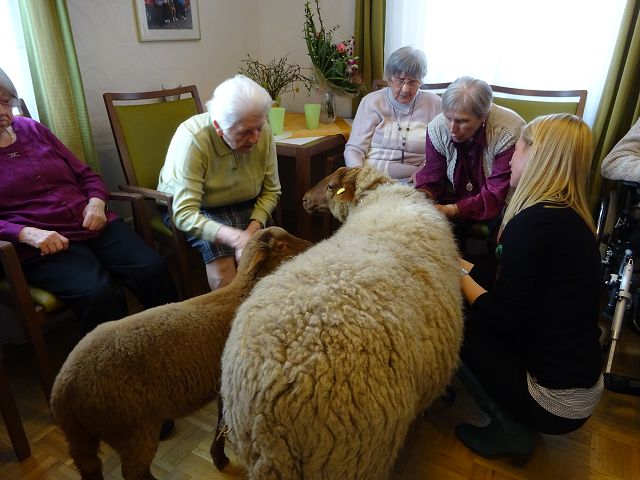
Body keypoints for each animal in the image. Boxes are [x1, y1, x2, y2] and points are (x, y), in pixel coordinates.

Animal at [49, 227, 310, 480]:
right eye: (281, 245)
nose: (310, 245)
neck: (240, 294)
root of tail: (62, 391)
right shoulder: (224, 385)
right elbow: (220, 422)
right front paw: (219, 457)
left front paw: (217, 457)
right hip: (132, 429)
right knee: (135, 472)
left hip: (81, 437)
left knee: (91, 467)